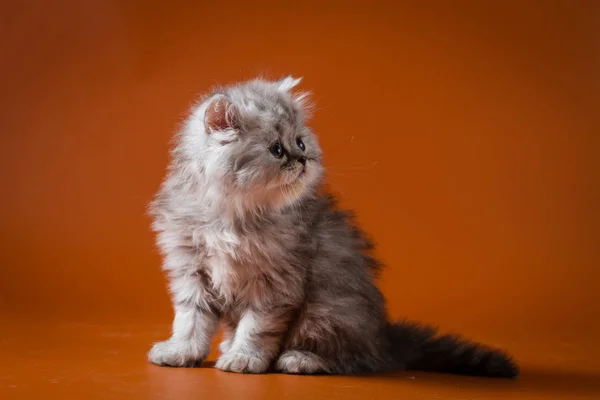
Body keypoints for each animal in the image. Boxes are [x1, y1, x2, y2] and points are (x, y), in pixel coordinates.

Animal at [148, 76, 516, 378]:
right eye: (276, 150)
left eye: (300, 143)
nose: (302, 160)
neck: (232, 215)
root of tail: (384, 338)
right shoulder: (191, 269)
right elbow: (190, 320)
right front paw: (181, 352)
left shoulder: (276, 283)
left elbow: (257, 327)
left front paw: (246, 357)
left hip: (327, 310)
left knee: (351, 359)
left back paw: (300, 359)